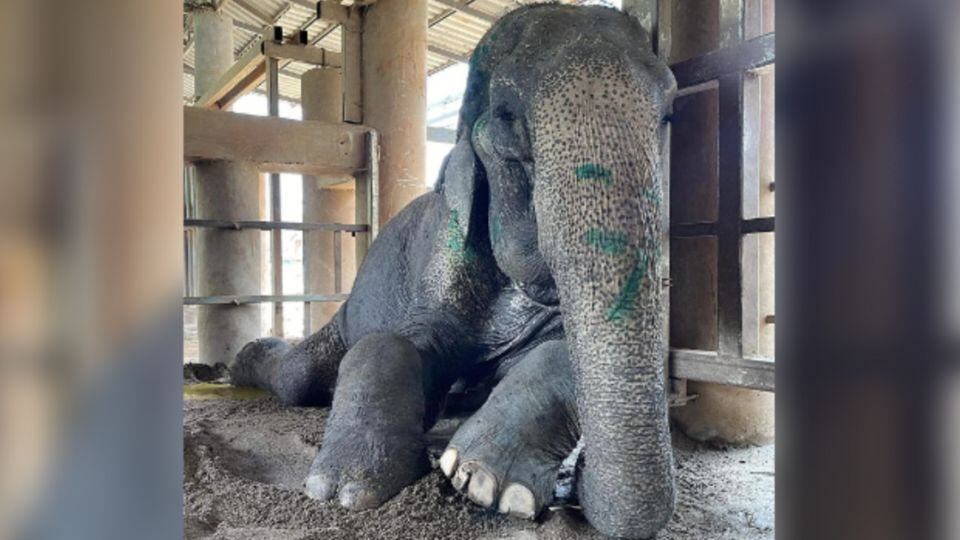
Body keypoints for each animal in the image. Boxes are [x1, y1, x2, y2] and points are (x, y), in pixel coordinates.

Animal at [229, 4, 677, 538]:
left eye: (668, 114)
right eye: (507, 121)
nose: (578, 488)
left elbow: (560, 350)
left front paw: (485, 481)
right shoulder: (443, 253)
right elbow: (391, 343)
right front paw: (345, 489)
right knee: (298, 377)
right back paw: (239, 363)